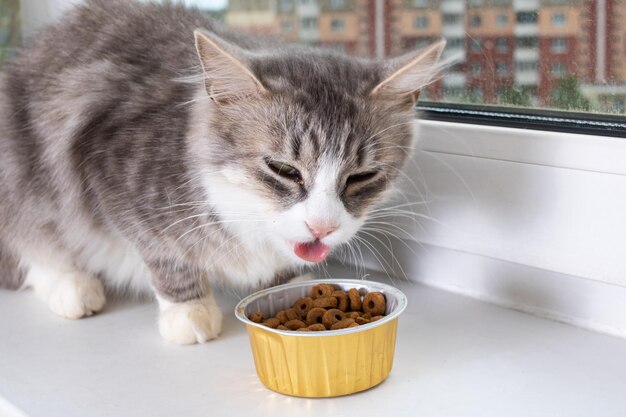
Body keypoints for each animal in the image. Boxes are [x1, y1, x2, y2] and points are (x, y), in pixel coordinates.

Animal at [0, 0, 444, 344]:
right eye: (283, 169)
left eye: (361, 176)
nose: (322, 228)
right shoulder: (113, 174)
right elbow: (166, 258)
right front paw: (190, 312)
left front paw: (291, 289)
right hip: (23, 180)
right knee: (34, 245)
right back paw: (72, 286)